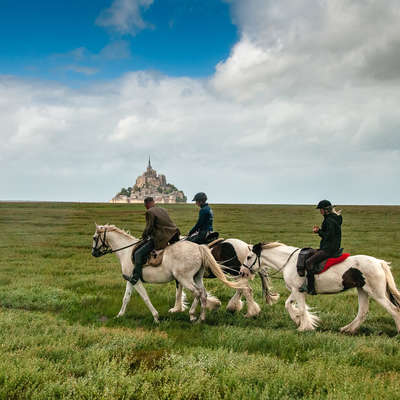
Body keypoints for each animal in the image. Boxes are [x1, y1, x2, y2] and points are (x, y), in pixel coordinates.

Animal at [92, 223, 245, 324]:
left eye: (94, 238)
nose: (94, 253)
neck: (126, 251)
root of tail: (199, 248)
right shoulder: (131, 280)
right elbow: (126, 298)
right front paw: (119, 315)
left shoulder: (136, 280)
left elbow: (146, 297)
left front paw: (156, 317)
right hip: (196, 277)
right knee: (203, 293)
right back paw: (202, 317)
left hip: (187, 278)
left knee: (201, 292)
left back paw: (195, 315)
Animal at [241, 242, 400, 332]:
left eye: (248, 257)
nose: (242, 272)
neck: (289, 262)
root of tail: (379, 262)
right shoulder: (296, 290)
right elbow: (288, 304)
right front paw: (298, 320)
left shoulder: (298, 291)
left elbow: (302, 309)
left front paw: (304, 327)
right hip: (362, 290)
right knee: (362, 312)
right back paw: (347, 329)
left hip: (376, 293)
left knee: (393, 310)